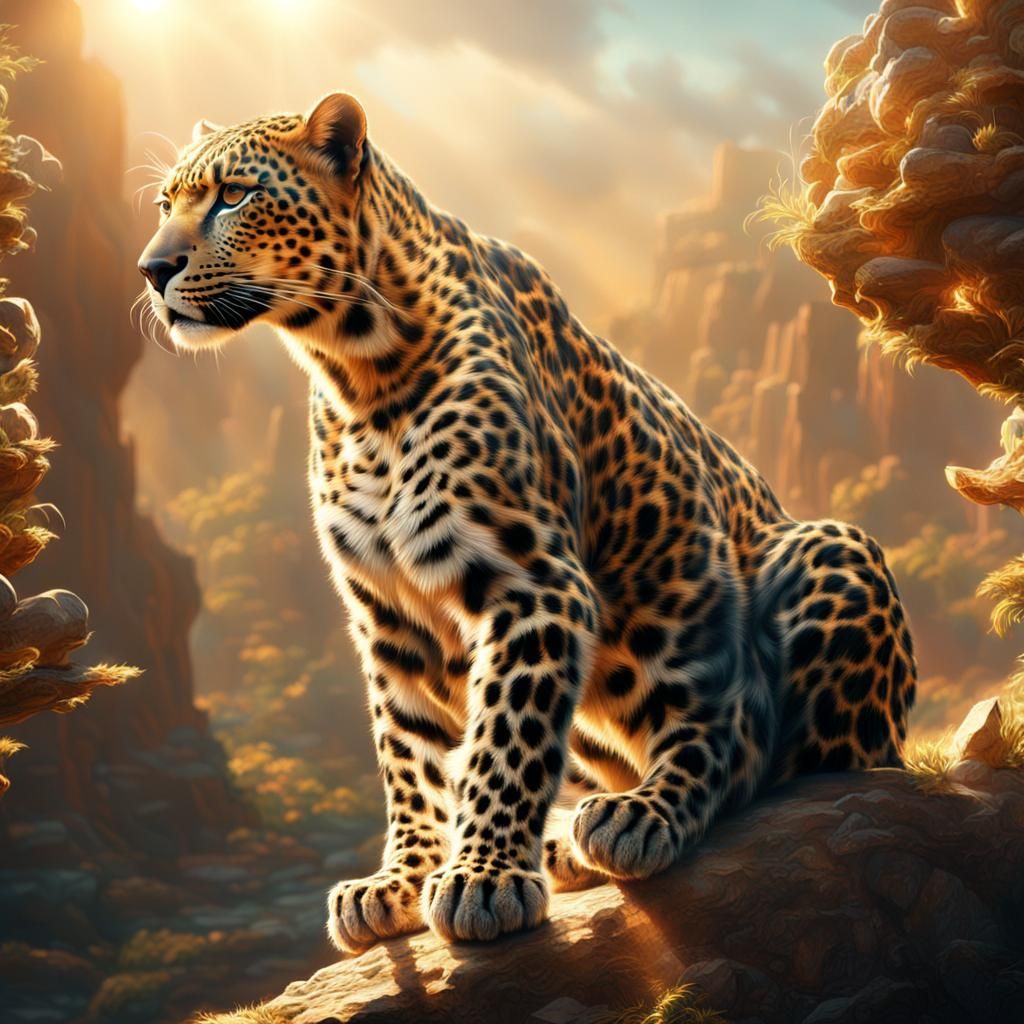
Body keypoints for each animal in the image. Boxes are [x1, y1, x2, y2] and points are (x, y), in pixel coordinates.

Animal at [139, 93, 917, 952]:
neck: (355, 371)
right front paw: (400, 881)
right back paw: (573, 840)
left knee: (758, 750)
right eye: (165, 205)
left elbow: (504, 739)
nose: (152, 269)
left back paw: (633, 819)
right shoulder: (390, 615)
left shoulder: (532, 583)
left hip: (823, 554)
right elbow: (410, 756)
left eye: (234, 196)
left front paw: (484, 879)